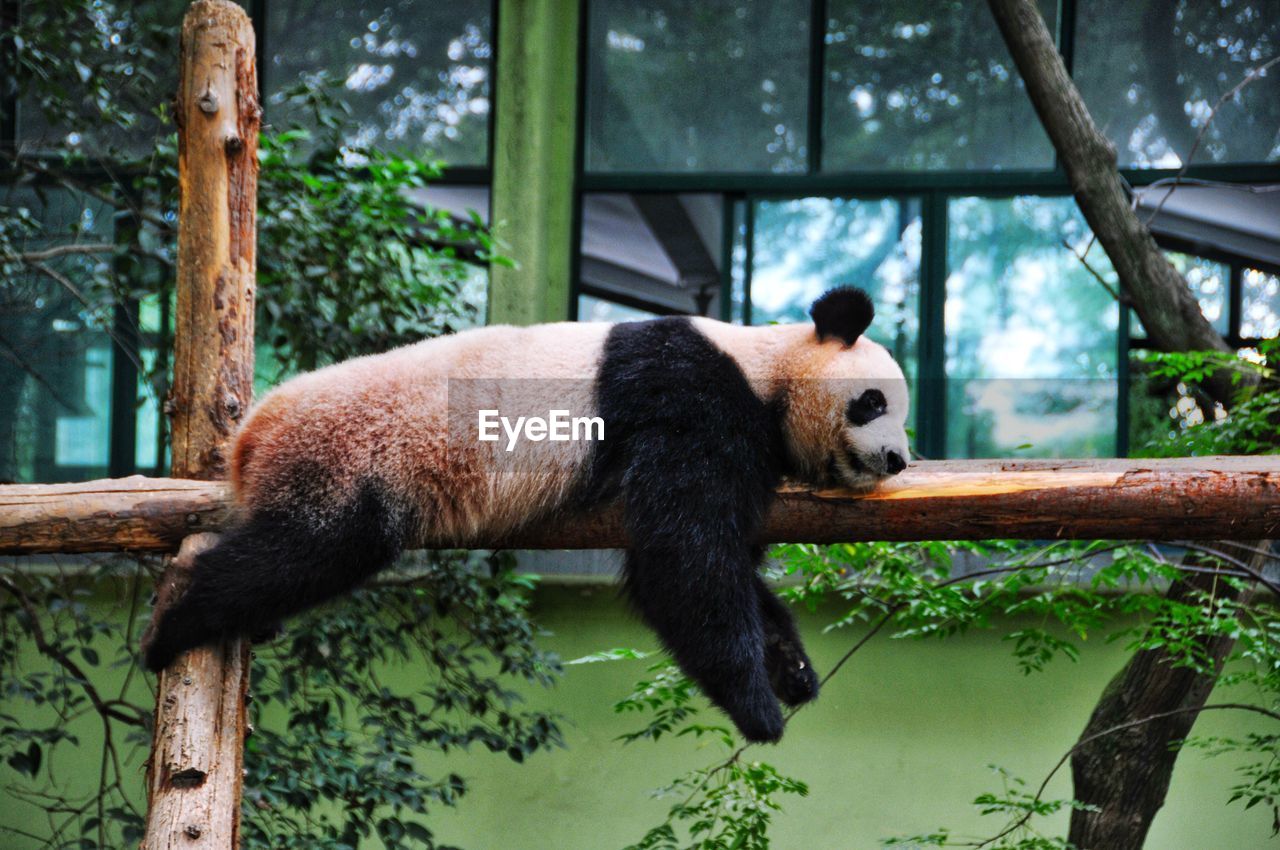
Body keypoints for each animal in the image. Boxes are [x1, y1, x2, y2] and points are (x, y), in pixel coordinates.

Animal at [145, 286, 911, 742]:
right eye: (872, 402)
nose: (898, 458)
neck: (762, 365)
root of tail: (249, 439)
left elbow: (729, 566)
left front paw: (793, 668)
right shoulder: (688, 396)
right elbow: (683, 559)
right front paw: (760, 709)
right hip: (346, 458)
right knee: (302, 551)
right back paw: (175, 622)